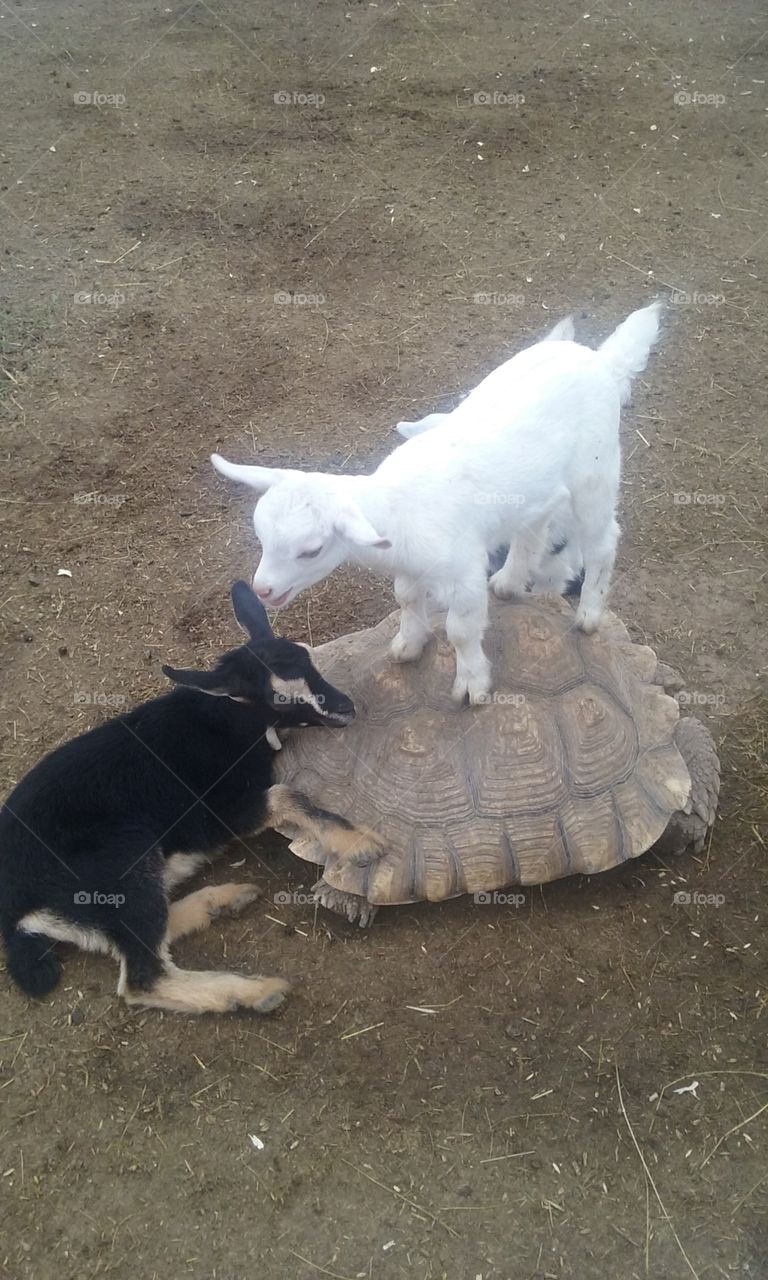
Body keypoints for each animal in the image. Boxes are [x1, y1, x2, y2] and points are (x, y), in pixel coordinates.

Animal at [0, 582, 379, 1015]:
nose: (346, 708)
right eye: (280, 697)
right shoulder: (217, 814)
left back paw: (220, 901)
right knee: (144, 975)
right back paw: (255, 991)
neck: (229, 721)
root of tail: (14, 913)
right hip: (118, 862)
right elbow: (286, 794)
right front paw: (361, 843)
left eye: (310, 658)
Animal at [212, 302, 662, 705]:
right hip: (538, 485)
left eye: (311, 550)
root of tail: (600, 359)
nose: (263, 589)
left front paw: (472, 684)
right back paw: (511, 580)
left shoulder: (463, 573)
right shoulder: (410, 568)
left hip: (594, 470)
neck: (396, 511)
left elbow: (460, 631)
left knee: (602, 541)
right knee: (535, 524)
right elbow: (407, 599)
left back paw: (588, 614)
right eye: (261, 537)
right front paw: (409, 644)